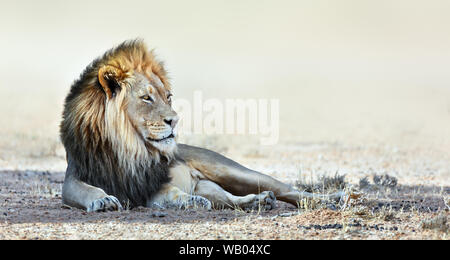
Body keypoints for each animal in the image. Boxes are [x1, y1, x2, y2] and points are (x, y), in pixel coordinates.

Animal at [59, 39, 342, 212]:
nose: (174, 120)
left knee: (290, 190)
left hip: (234, 171)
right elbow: (86, 191)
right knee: (229, 199)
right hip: (215, 187)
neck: (128, 147)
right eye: (146, 98)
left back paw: (334, 198)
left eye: (168, 97)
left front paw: (190, 201)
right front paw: (103, 201)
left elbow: (171, 193)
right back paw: (258, 202)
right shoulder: (75, 177)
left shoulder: (152, 184)